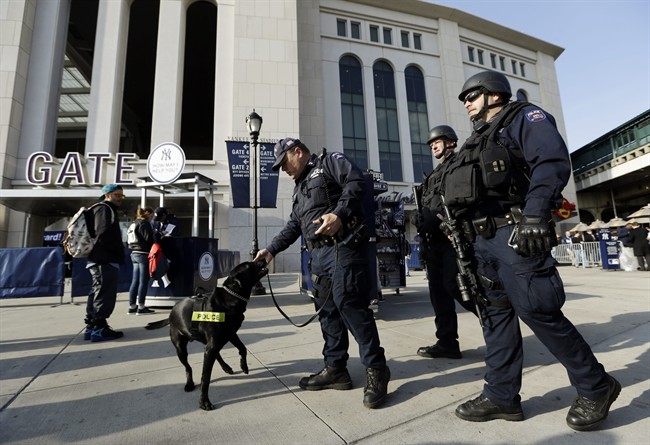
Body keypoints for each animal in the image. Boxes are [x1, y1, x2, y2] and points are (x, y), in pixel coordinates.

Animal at [146, 260, 268, 410]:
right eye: (250, 265)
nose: (263, 259)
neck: (231, 297)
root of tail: (171, 313)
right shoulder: (215, 344)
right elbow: (205, 377)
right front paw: (204, 401)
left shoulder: (230, 334)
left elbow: (243, 348)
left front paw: (243, 366)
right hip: (181, 348)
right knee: (188, 367)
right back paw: (189, 383)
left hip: (211, 343)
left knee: (217, 354)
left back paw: (226, 367)